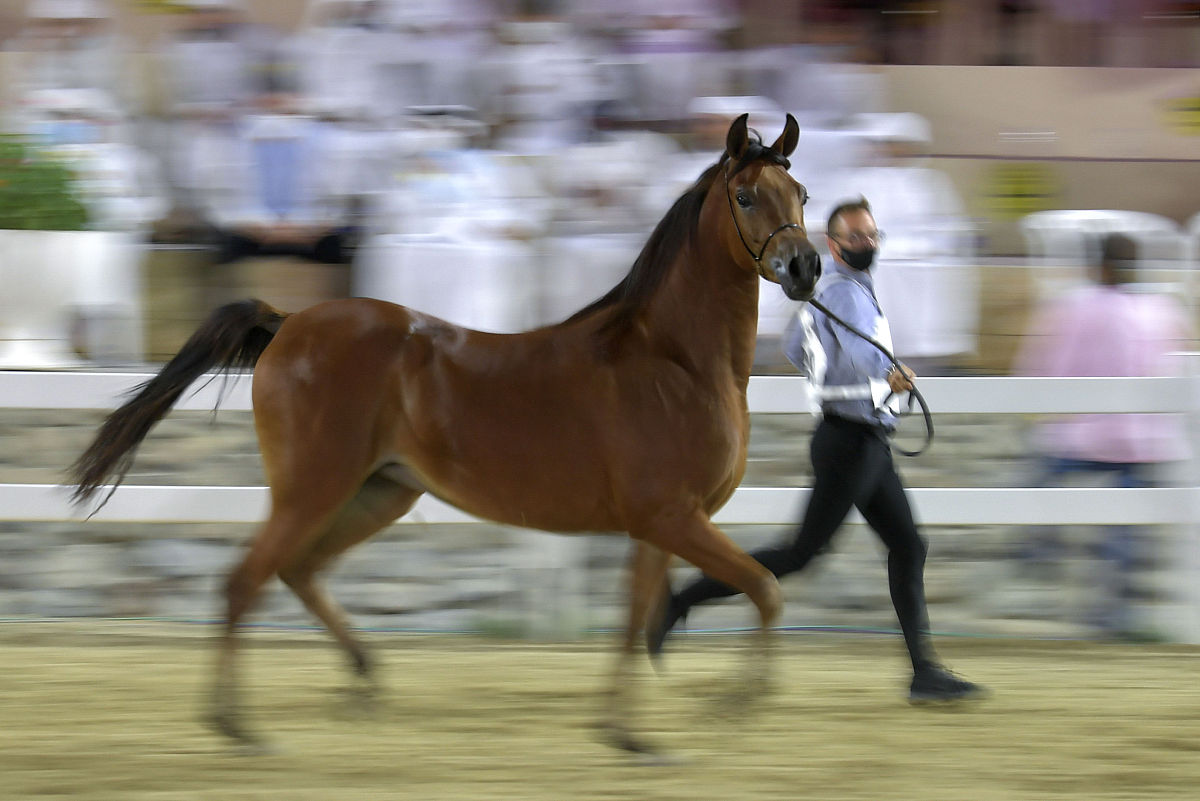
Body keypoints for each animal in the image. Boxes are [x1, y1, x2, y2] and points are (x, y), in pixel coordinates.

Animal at [69, 113, 821, 754]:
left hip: (380, 491)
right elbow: (764, 588)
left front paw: (625, 733)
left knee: (297, 569)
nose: (806, 267)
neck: (674, 362)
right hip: (314, 486)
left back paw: (363, 672)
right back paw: (236, 724)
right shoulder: (672, 516)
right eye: (746, 196)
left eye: (802, 192)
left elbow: (638, 617)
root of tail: (289, 324)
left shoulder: (659, 525)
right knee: (244, 578)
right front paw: (737, 701)